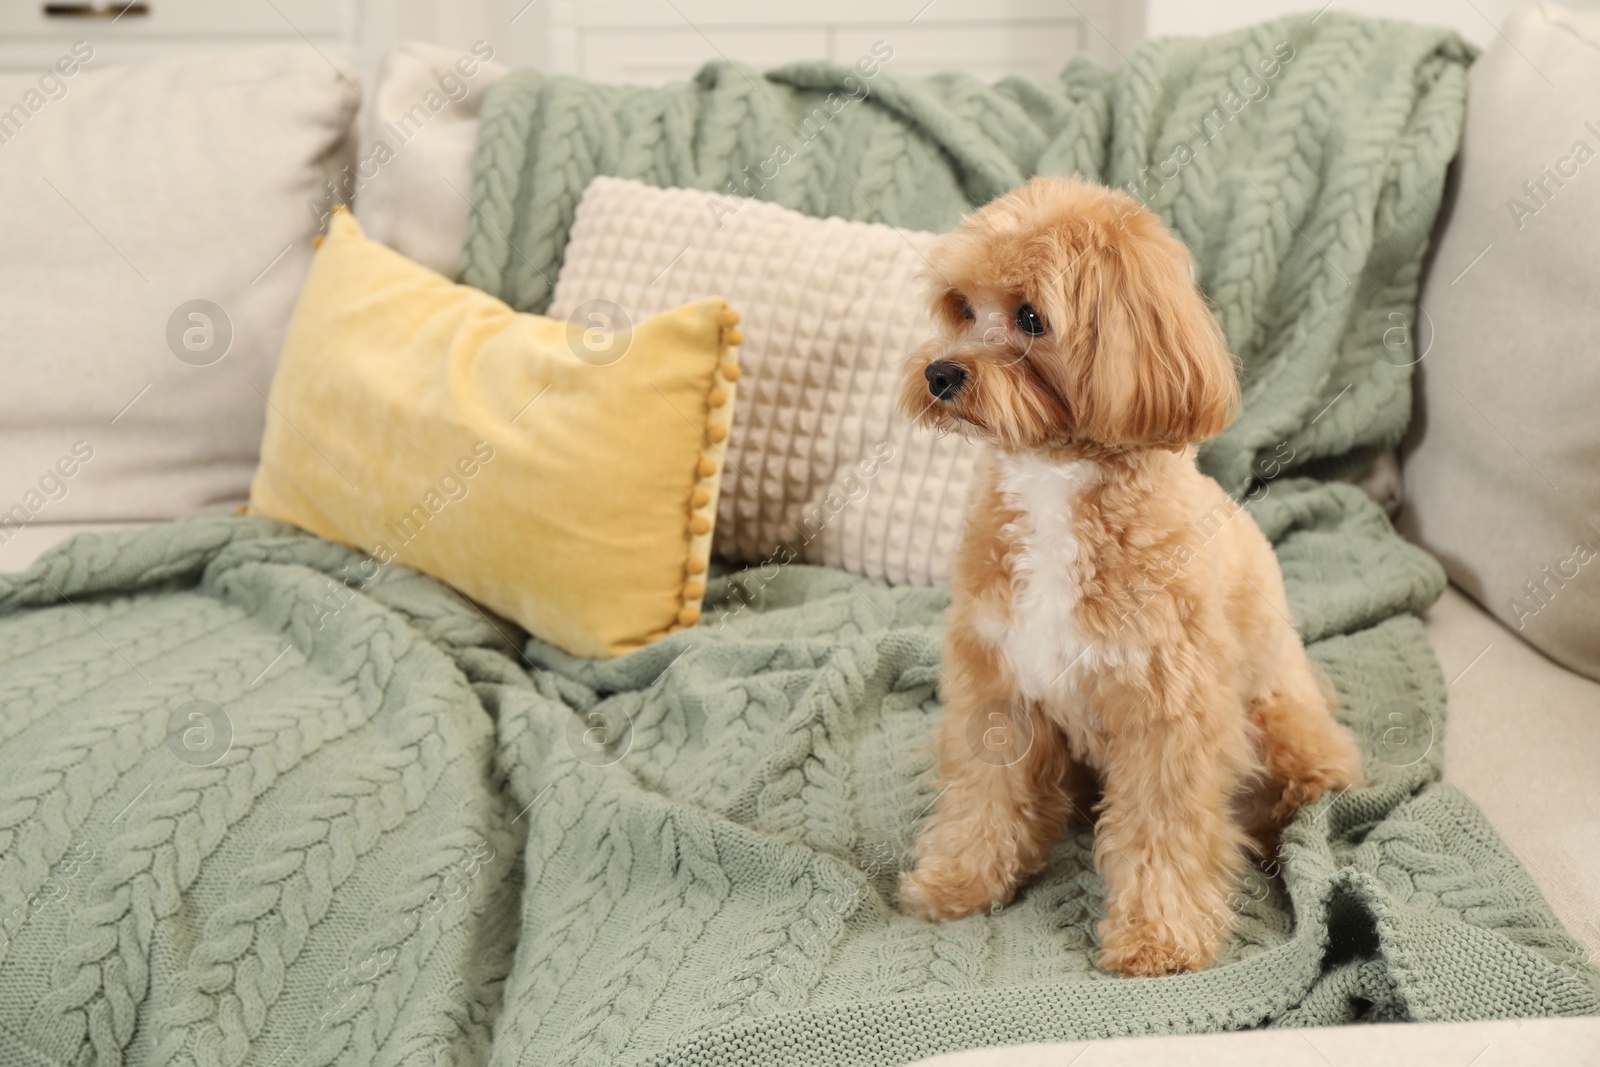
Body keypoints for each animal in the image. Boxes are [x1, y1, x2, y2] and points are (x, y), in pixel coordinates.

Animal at [902, 175, 1363, 979]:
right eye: (960, 305)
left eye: (1031, 318)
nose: (940, 373)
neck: (1055, 480)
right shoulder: (997, 683)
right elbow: (985, 793)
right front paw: (960, 878)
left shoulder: (1168, 715)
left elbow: (1164, 828)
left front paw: (1160, 937)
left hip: (1282, 724)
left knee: (1313, 778)